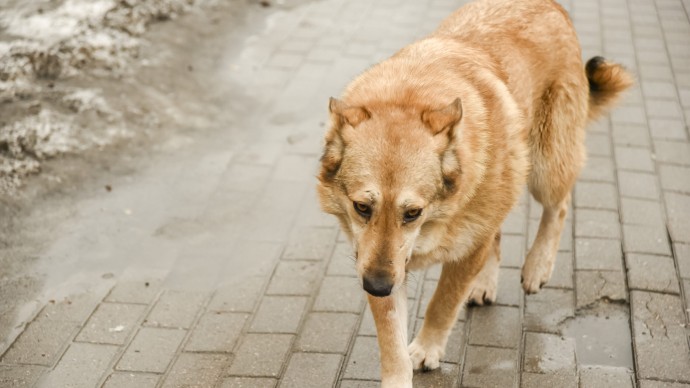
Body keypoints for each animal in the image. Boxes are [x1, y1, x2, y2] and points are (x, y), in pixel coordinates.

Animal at [316, 0, 628, 384]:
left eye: (412, 213)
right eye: (361, 207)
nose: (375, 287)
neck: (409, 96)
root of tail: (551, 5)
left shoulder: (454, 256)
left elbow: (443, 303)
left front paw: (427, 348)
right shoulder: (377, 261)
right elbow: (391, 342)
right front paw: (397, 376)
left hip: (545, 168)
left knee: (559, 206)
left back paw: (537, 266)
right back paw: (485, 284)